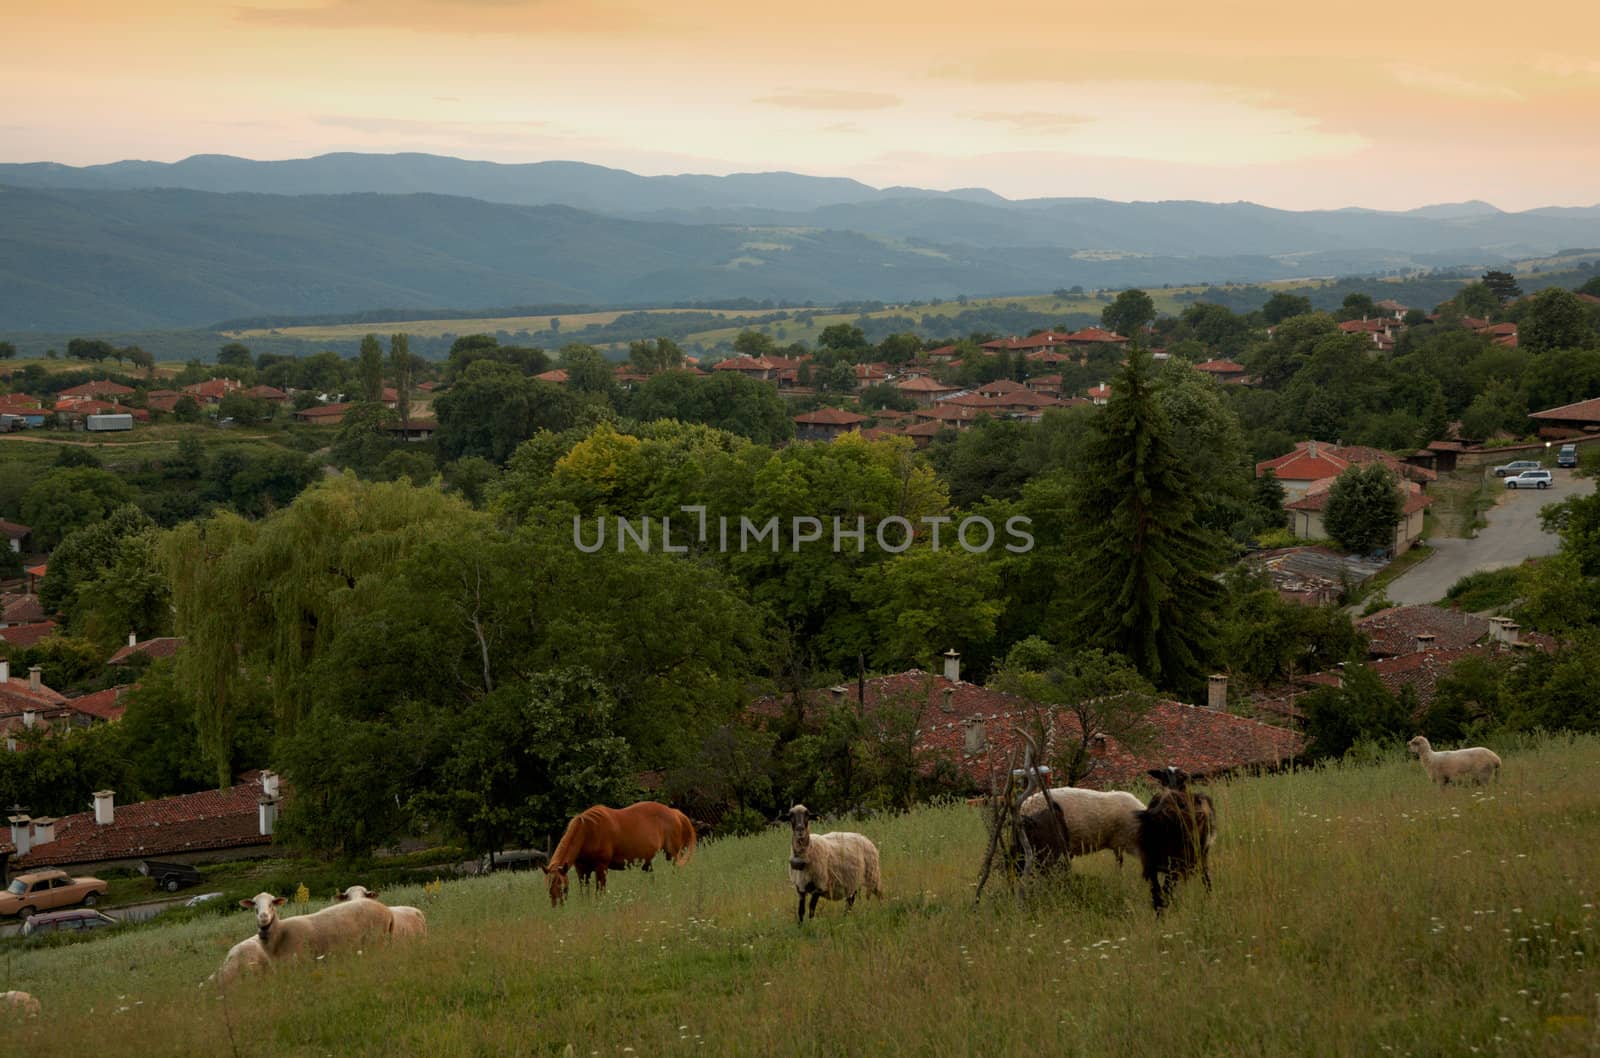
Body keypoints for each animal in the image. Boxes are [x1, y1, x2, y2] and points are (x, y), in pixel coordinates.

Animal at [240, 889, 396, 960]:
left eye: (272, 903)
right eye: (254, 904)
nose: (263, 917)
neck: (281, 933)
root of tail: (387, 911)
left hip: (377, 941)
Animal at [544, 803, 694, 902]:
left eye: (563, 888)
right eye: (548, 888)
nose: (557, 907)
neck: (588, 832)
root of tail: (675, 813)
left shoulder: (601, 867)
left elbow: (600, 891)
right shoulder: (581, 870)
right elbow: (584, 892)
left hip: (672, 856)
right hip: (650, 863)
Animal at [1132, 761, 1216, 909]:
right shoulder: (1202, 855)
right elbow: (1206, 879)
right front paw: (1209, 899)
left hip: (1151, 859)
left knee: (1157, 894)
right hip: (1177, 860)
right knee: (1167, 891)